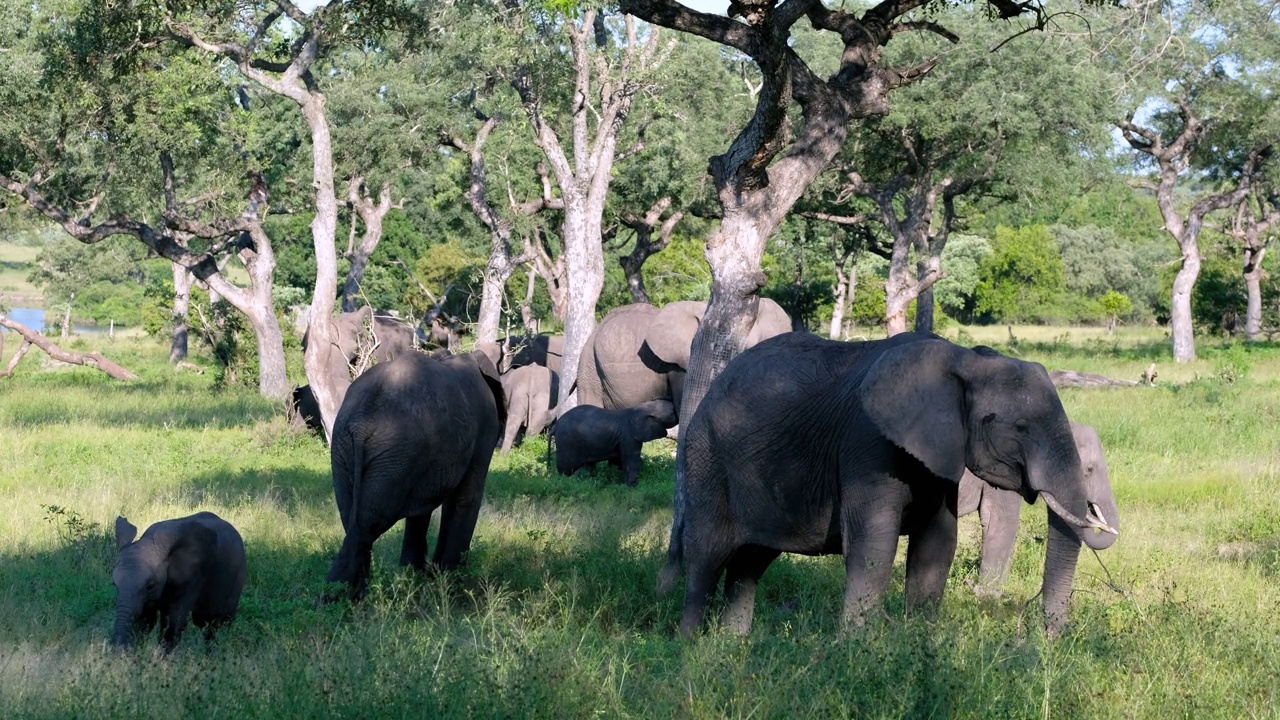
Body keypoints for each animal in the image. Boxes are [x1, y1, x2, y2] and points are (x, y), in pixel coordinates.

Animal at [113, 509, 248, 650]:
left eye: (150, 585)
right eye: (115, 585)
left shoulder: (194, 576)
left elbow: (176, 620)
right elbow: (146, 620)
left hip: (239, 573)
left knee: (218, 623)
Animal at [325, 348, 504, 594]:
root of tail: (362, 423)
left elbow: (422, 509)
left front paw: (422, 577)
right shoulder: (485, 428)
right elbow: (466, 499)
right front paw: (448, 583)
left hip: (348, 448)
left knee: (352, 517)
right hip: (392, 453)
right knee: (368, 525)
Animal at [555, 397, 686, 486]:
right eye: (672, 412)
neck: (640, 409)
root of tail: (554, 427)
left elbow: (619, 461)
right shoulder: (628, 437)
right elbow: (631, 460)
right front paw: (632, 487)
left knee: (587, 467)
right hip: (567, 443)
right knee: (566, 469)